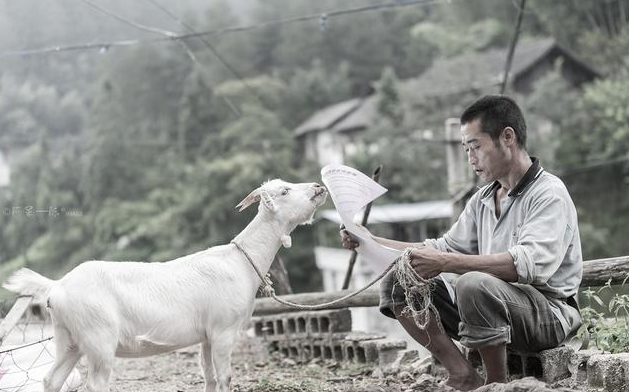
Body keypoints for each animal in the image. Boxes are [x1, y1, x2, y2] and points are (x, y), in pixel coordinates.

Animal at [3, 181, 328, 392]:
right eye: (285, 191)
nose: (318, 186)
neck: (241, 263)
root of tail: (57, 285)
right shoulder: (224, 329)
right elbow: (225, 377)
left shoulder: (207, 334)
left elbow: (210, 377)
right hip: (98, 337)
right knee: (96, 383)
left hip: (68, 338)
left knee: (52, 380)